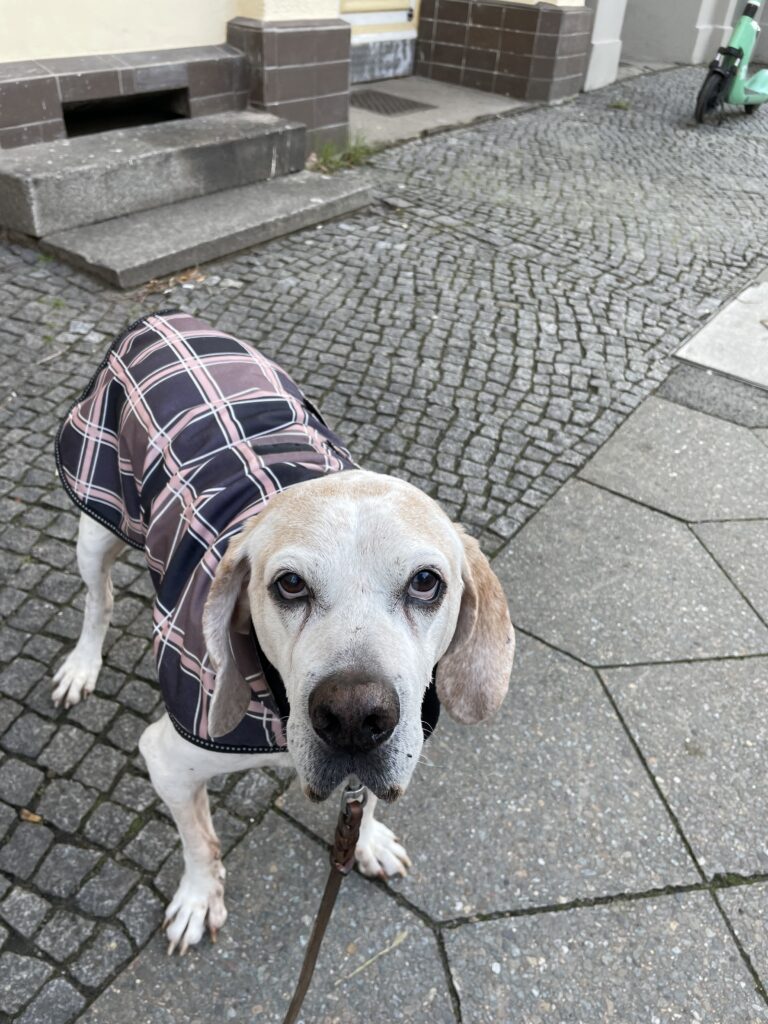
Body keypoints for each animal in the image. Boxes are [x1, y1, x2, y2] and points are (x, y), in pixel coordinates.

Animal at [52, 311, 514, 955]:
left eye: (426, 582)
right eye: (290, 584)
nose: (354, 717)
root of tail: (160, 317)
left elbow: (364, 801)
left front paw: (368, 840)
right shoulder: (167, 760)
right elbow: (201, 842)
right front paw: (199, 899)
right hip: (97, 523)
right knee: (100, 600)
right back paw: (82, 667)